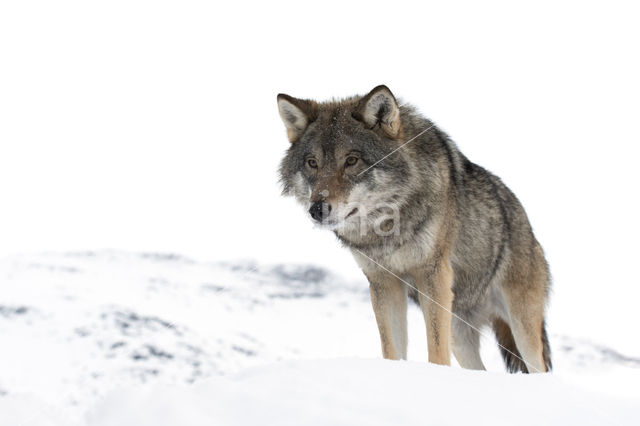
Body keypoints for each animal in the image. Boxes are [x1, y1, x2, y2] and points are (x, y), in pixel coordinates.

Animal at [278, 85, 552, 372]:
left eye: (351, 160)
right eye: (312, 163)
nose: (317, 209)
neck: (388, 226)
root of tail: (529, 229)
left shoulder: (433, 276)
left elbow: (436, 352)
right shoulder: (383, 283)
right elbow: (392, 349)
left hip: (522, 329)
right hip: (460, 335)